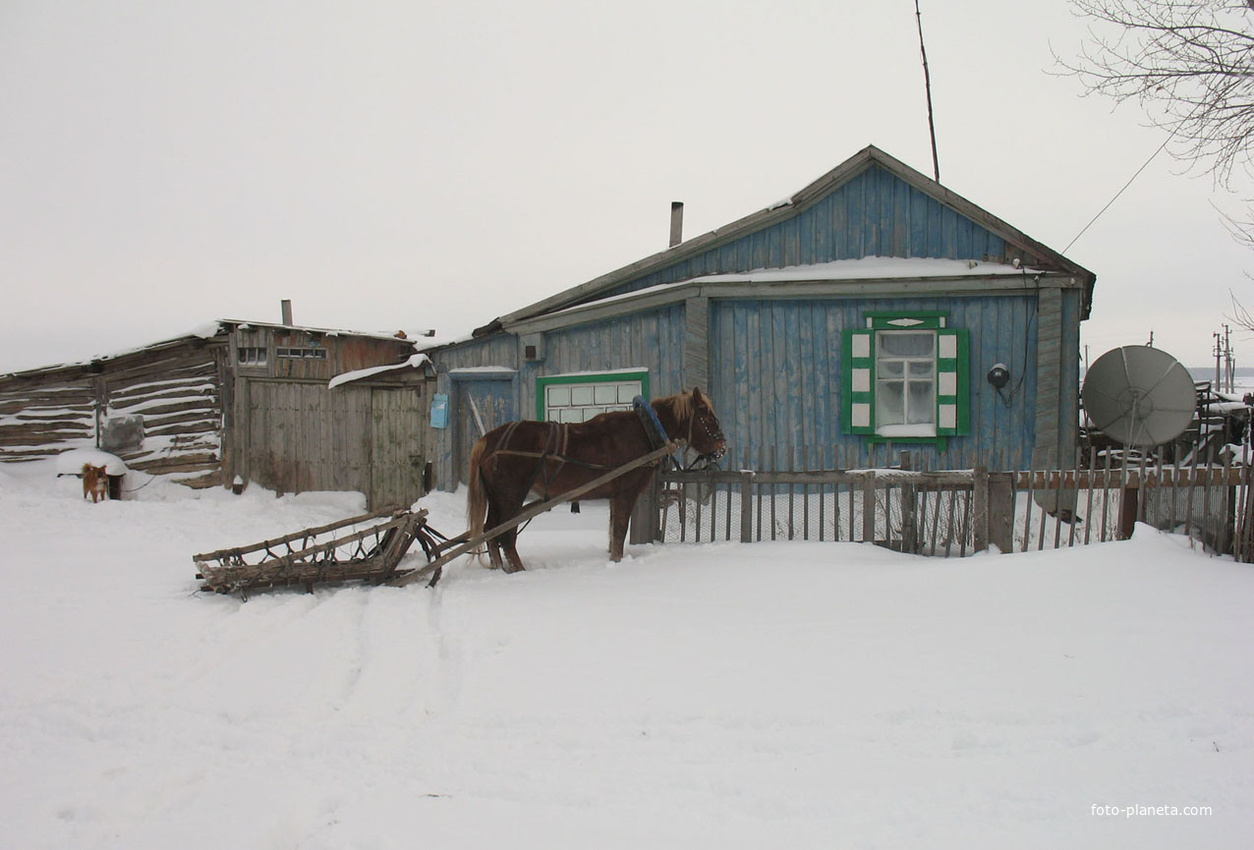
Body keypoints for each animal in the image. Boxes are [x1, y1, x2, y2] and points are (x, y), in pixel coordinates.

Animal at [468, 388, 727, 576]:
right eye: (707, 416)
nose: (722, 447)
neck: (645, 431)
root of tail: (488, 440)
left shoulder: (614, 496)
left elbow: (613, 532)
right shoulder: (626, 493)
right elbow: (620, 531)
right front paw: (617, 562)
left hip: (498, 497)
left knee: (490, 530)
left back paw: (498, 569)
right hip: (511, 495)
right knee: (505, 535)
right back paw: (519, 573)